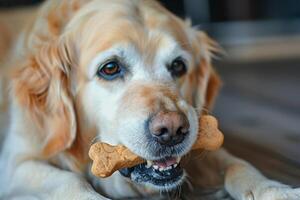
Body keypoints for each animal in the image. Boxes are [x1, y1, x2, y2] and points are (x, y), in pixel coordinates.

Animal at [0, 0, 300, 200]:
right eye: (110, 68)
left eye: (178, 66)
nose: (172, 130)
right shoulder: (16, 164)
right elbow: (69, 181)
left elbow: (237, 163)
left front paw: (274, 189)